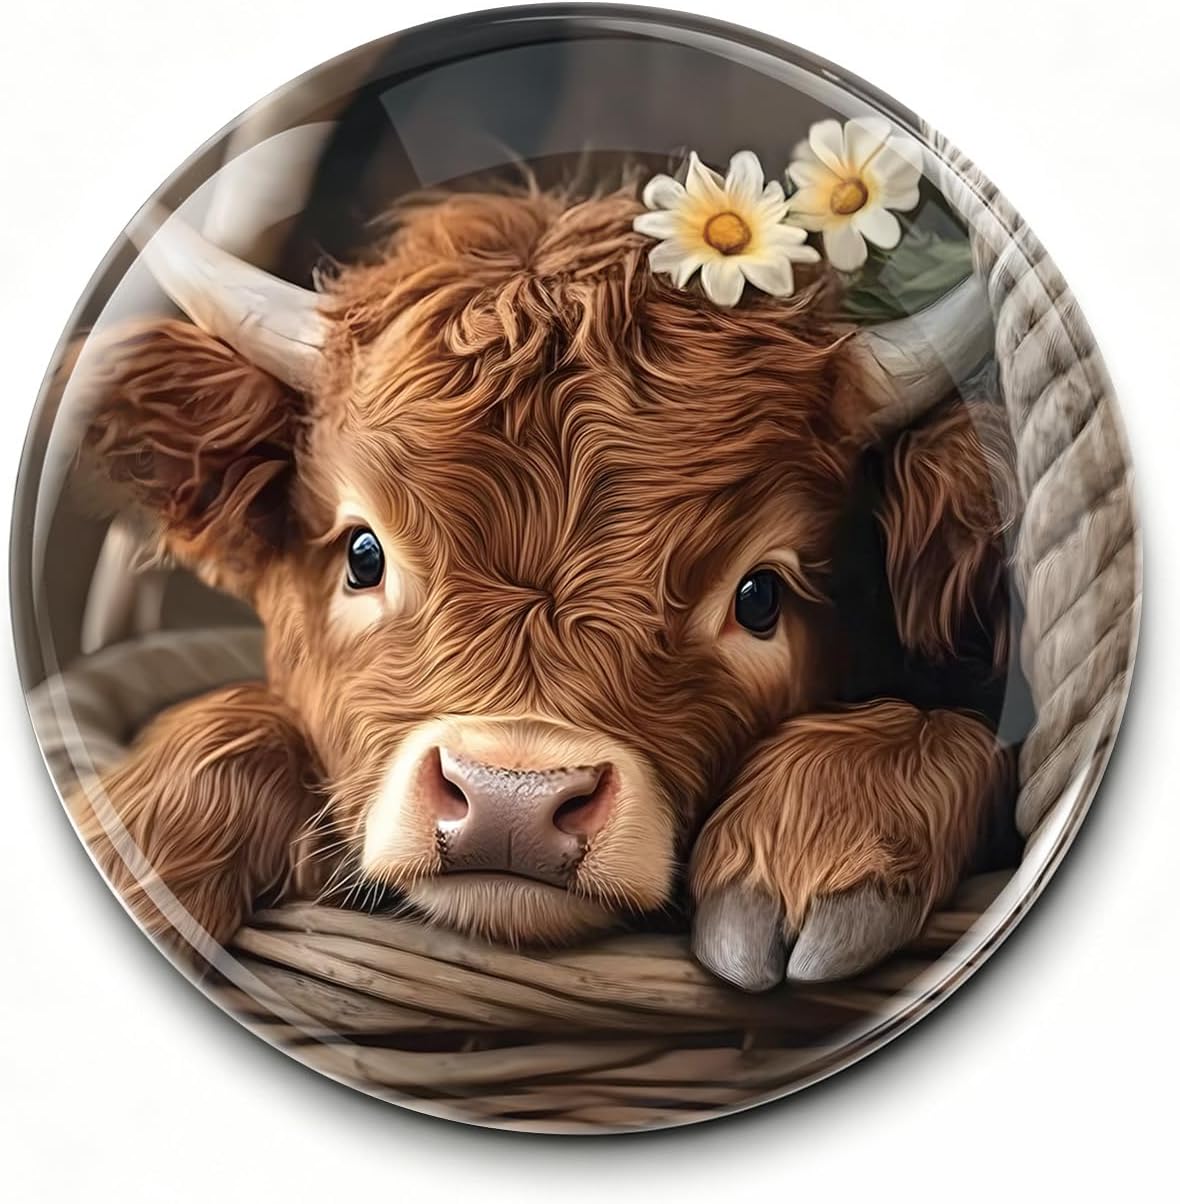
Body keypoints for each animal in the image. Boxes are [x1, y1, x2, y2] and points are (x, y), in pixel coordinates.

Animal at [67, 178, 1015, 992]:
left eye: (760, 596)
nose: (511, 802)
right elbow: (240, 723)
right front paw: (138, 844)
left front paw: (816, 840)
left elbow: (958, 734)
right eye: (363, 555)